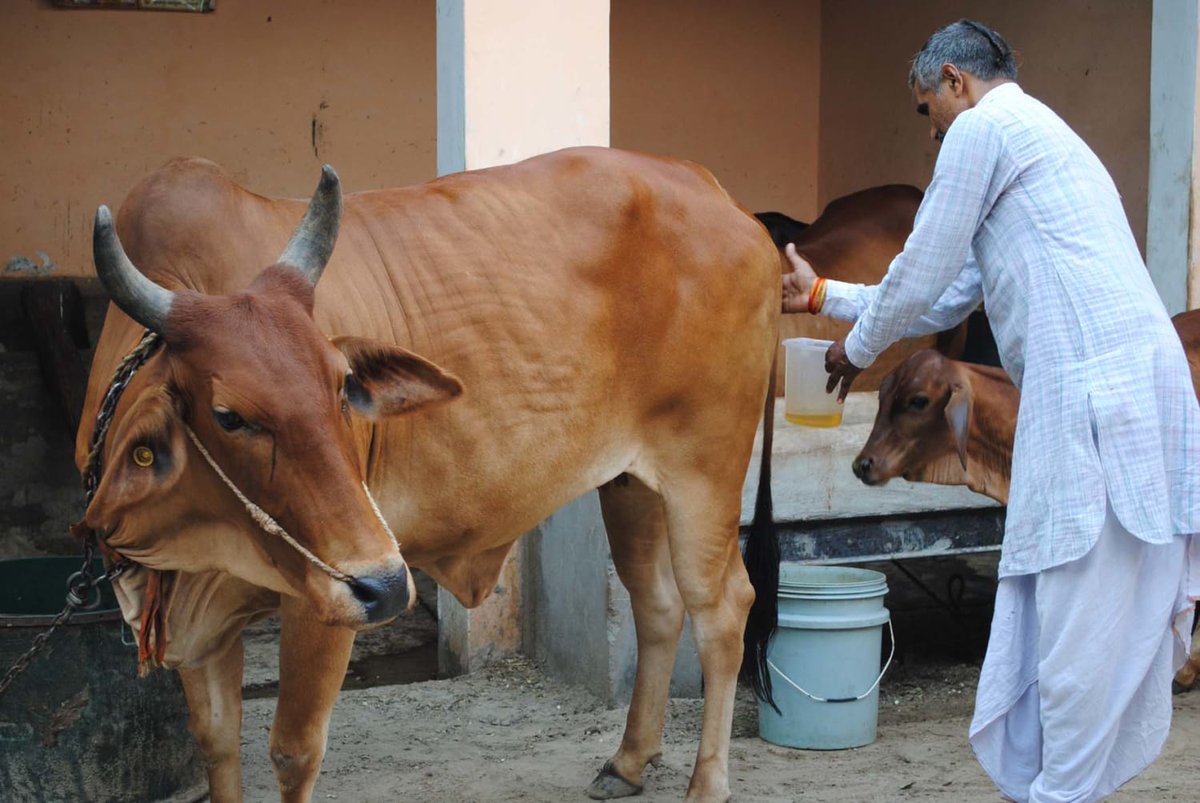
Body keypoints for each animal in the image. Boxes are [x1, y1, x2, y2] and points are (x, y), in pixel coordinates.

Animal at [76, 147, 780, 803]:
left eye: (343, 387)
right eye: (228, 415)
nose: (387, 586)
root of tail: (720, 196)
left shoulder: (322, 601)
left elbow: (292, 751)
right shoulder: (200, 619)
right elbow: (217, 746)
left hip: (706, 467)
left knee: (722, 609)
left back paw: (707, 783)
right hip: (631, 482)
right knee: (656, 603)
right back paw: (629, 761)